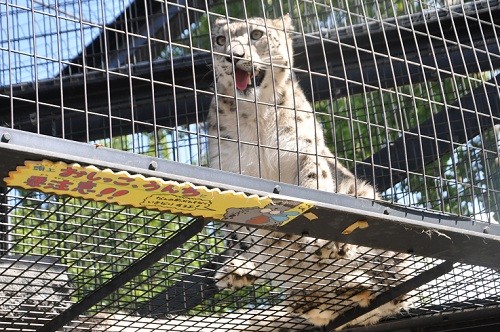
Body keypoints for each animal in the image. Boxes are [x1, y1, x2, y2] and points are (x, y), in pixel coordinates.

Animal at [207, 14, 410, 328]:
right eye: (220, 40)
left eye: (256, 34)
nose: (233, 55)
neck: (256, 118)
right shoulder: (226, 167)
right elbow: (237, 228)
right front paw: (238, 264)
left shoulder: (305, 151)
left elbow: (315, 191)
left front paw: (320, 242)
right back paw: (309, 300)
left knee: (383, 293)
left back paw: (351, 276)